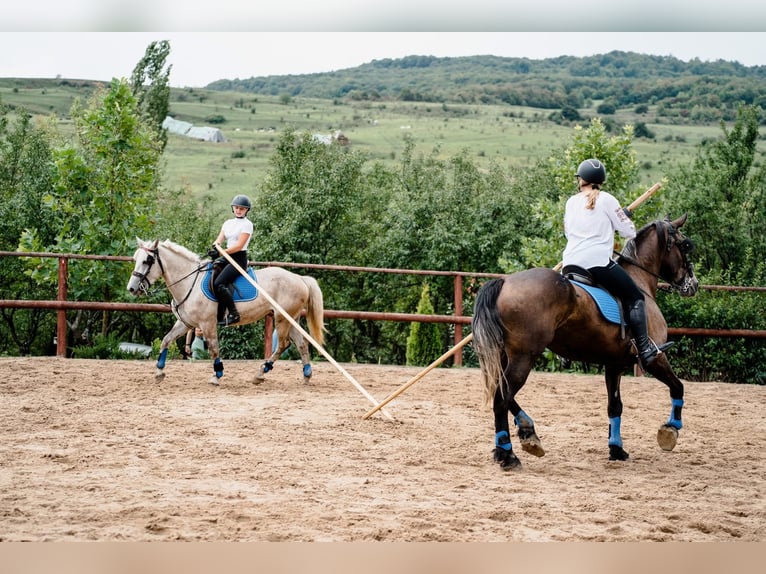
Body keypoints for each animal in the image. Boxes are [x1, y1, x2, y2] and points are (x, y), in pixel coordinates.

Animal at [126, 238, 325, 386]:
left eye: (147, 261)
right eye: (136, 259)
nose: (132, 288)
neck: (189, 282)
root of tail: (299, 278)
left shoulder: (207, 324)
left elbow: (214, 349)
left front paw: (217, 374)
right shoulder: (186, 323)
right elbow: (166, 340)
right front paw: (159, 372)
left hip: (282, 318)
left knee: (284, 345)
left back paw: (261, 373)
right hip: (290, 318)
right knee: (301, 344)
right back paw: (306, 375)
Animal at [471, 215, 698, 470]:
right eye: (685, 245)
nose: (693, 284)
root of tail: (504, 283)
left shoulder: (614, 365)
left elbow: (615, 406)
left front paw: (616, 449)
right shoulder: (655, 358)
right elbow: (677, 386)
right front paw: (670, 430)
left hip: (505, 357)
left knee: (500, 392)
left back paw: (527, 433)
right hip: (524, 357)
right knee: (502, 397)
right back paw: (508, 454)